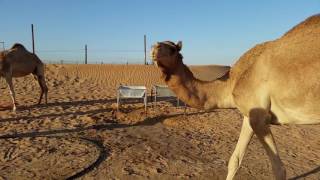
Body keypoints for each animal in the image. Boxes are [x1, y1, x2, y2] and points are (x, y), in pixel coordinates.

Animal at [151, 14, 320, 180]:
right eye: (157, 45)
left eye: (172, 49)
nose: (154, 48)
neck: (234, 81)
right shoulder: (249, 115)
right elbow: (235, 160)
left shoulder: (259, 117)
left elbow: (279, 170)